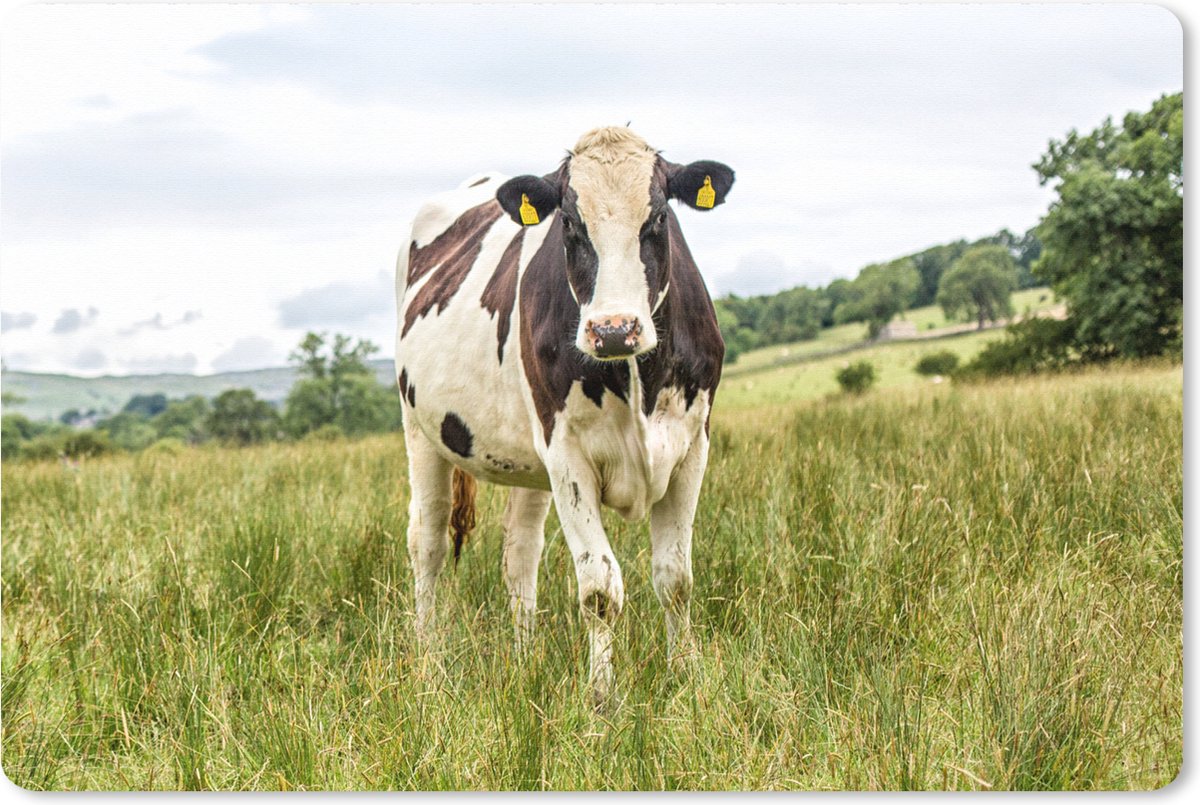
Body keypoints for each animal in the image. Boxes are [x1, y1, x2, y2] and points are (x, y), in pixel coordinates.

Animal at [394, 126, 733, 704]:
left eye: (659, 217)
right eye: (570, 224)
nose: (615, 329)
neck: (635, 379)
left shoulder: (692, 445)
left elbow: (675, 577)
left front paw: (687, 678)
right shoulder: (567, 454)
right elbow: (599, 587)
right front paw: (601, 699)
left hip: (529, 463)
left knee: (519, 552)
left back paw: (524, 658)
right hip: (421, 431)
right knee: (429, 543)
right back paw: (430, 666)